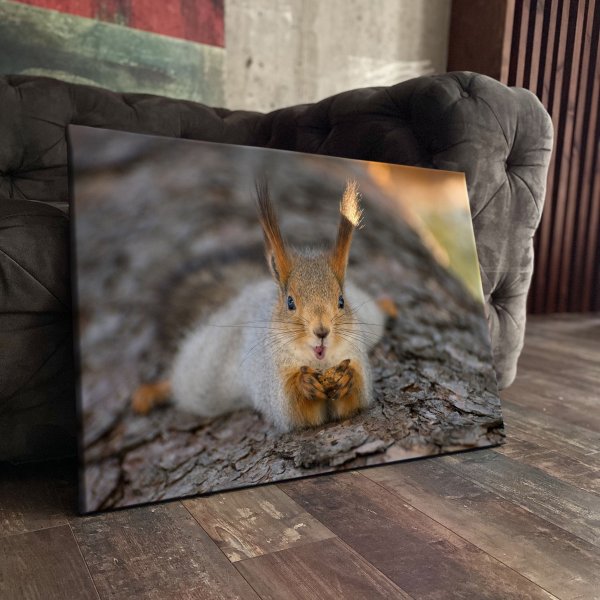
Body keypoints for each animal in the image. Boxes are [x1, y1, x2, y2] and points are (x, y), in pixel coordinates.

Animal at [132, 179, 396, 430]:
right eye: (290, 302)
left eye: (341, 301)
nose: (322, 332)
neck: (319, 364)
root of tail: (247, 291)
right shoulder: (271, 380)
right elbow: (291, 410)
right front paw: (304, 383)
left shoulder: (356, 354)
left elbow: (357, 399)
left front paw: (346, 378)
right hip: (202, 370)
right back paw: (152, 391)